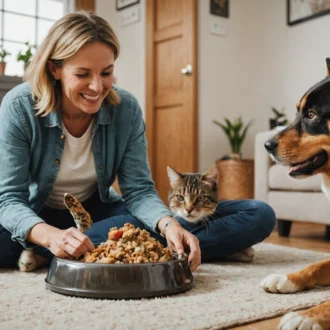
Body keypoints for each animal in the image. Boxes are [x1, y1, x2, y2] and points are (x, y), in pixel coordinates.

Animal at [260, 59, 330, 330]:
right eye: (298, 112)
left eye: (311, 115)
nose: (266, 145)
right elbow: (316, 264)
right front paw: (286, 278)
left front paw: (306, 316)